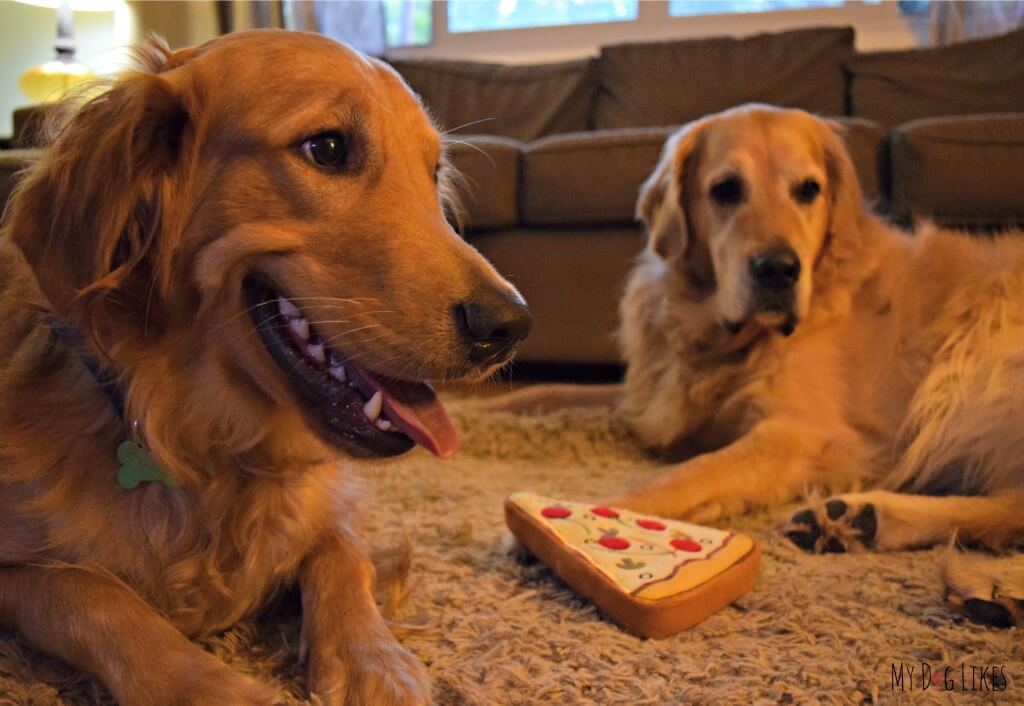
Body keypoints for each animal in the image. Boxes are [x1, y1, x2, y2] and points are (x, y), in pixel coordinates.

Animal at [0, 30, 532, 704]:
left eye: (432, 172)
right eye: (326, 148)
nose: (509, 326)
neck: (207, 443)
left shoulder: (332, 506)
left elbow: (340, 553)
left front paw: (372, 656)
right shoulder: (17, 569)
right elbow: (94, 594)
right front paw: (212, 687)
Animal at [483, 103, 1024, 623]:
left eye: (809, 190)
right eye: (726, 189)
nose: (778, 270)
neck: (719, 335)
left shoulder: (808, 433)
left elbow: (690, 472)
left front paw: (577, 519)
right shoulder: (655, 397)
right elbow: (549, 390)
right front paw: (481, 414)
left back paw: (991, 583)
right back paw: (866, 523)